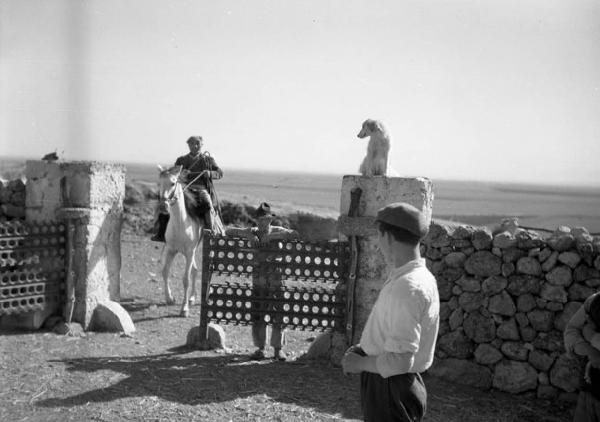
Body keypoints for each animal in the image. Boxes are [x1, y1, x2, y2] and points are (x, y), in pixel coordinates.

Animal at [157, 165, 204, 316]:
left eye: (173, 183)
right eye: (159, 183)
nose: (163, 206)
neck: (180, 224)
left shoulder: (189, 252)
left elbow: (186, 279)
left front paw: (184, 308)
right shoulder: (171, 250)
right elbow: (165, 271)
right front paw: (169, 298)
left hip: (192, 252)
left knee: (194, 271)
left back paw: (192, 298)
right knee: (195, 269)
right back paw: (192, 297)